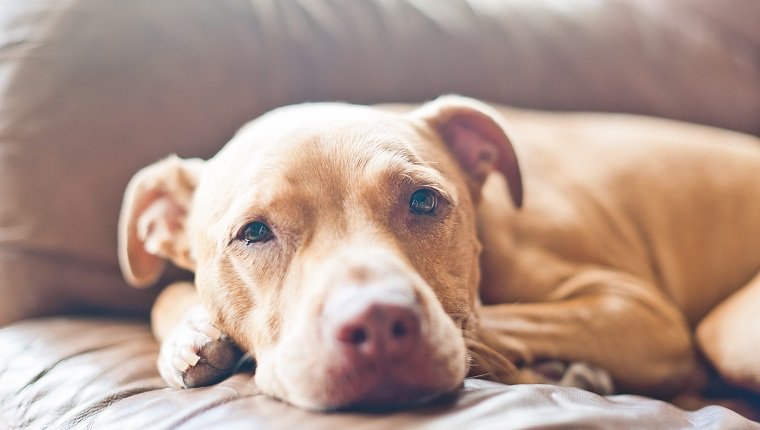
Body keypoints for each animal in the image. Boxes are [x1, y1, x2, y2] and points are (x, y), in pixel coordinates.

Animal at [116, 96, 760, 410]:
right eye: (253, 233)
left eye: (424, 201)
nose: (378, 323)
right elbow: (170, 290)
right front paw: (189, 337)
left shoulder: (641, 313)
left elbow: (494, 323)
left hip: (728, 332)